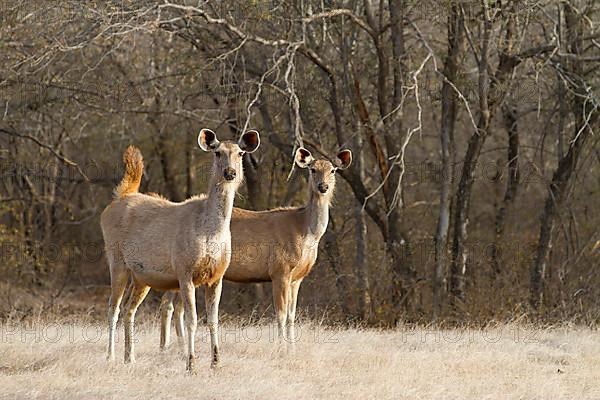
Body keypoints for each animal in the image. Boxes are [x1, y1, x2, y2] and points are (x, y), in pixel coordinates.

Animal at [101, 128, 260, 372]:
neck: (210, 233)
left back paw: (130, 357)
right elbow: (191, 320)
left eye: (240, 153)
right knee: (113, 308)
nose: (230, 172)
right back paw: (110, 356)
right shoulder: (185, 272)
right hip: (116, 260)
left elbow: (213, 320)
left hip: (142, 277)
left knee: (129, 309)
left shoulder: (217, 276)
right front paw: (191, 363)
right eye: (217, 152)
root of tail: (119, 198)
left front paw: (216, 362)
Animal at [159, 145, 352, 346]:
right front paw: (281, 347)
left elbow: (292, 316)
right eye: (312, 169)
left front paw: (291, 348)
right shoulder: (279, 270)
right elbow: (281, 315)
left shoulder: (297, 278)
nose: (323, 187)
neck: (305, 231)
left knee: (173, 305)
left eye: (333, 170)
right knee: (169, 304)